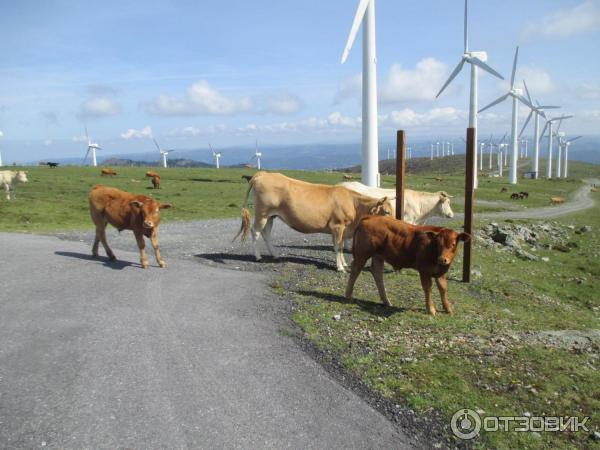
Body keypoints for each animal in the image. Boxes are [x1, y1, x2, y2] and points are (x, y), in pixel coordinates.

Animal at [234, 171, 394, 270]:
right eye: (386, 212)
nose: (395, 224)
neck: (354, 204)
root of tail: (263, 174)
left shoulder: (342, 229)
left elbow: (341, 246)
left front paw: (343, 264)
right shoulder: (337, 226)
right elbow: (338, 247)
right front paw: (340, 267)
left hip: (271, 216)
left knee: (266, 233)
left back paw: (275, 254)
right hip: (262, 213)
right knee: (255, 231)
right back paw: (258, 256)